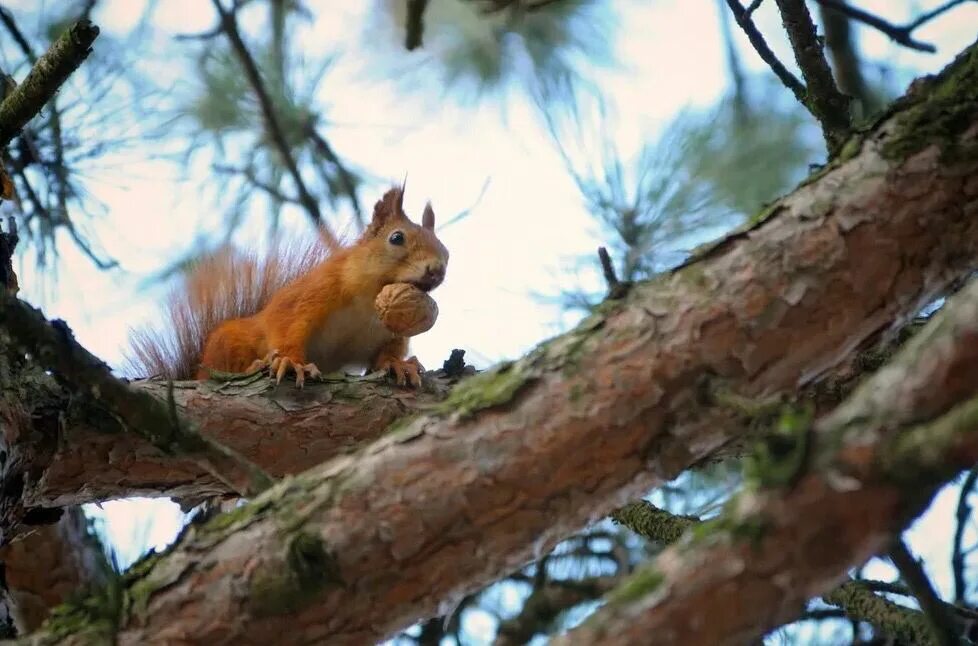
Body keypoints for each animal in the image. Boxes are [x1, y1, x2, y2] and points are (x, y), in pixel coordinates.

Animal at [127, 186, 450, 390]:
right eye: (396, 238)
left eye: (446, 252)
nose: (437, 270)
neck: (368, 301)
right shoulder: (310, 293)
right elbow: (287, 327)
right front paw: (293, 362)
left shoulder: (390, 333)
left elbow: (387, 354)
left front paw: (399, 365)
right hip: (229, 342)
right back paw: (254, 366)